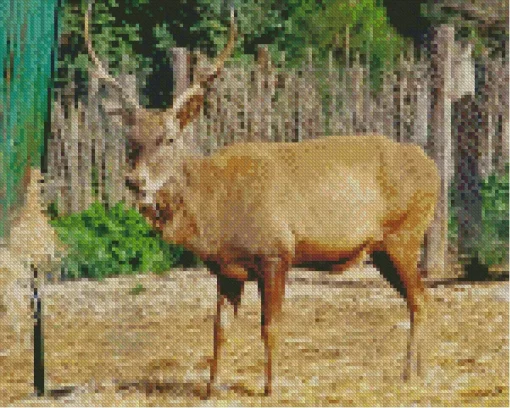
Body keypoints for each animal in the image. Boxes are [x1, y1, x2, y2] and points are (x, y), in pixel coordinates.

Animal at [83, 1, 438, 396]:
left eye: (169, 138)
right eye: (131, 141)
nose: (134, 181)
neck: (215, 211)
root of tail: (432, 167)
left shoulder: (276, 251)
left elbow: (270, 326)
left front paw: (270, 387)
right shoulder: (225, 268)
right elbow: (219, 330)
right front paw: (212, 388)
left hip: (404, 233)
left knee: (421, 299)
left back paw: (412, 373)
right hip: (381, 249)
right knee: (420, 299)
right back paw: (417, 371)